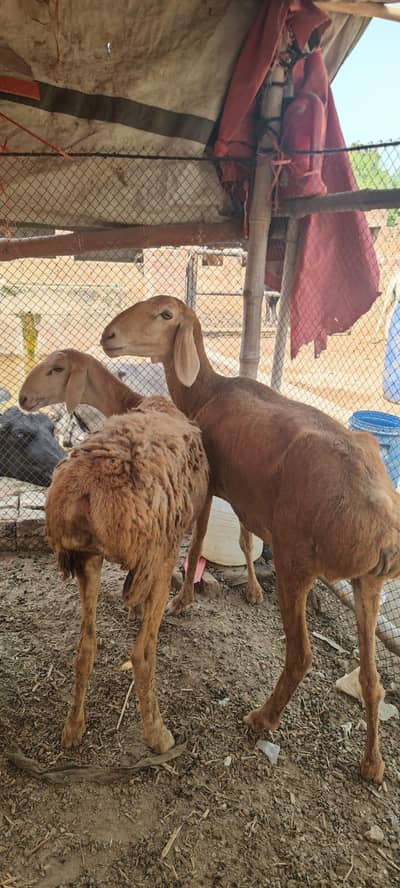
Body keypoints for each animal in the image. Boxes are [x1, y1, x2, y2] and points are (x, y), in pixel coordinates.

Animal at [45, 400, 209, 752]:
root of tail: (87, 491)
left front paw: (133, 609)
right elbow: (196, 547)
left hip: (87, 559)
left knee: (86, 646)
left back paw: (73, 729)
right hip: (160, 556)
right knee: (142, 653)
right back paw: (158, 735)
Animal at [101, 294, 400, 784]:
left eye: (166, 314)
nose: (108, 336)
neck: (206, 392)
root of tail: (383, 532)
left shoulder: (209, 480)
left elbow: (199, 540)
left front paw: (183, 598)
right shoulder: (245, 495)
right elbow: (243, 539)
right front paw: (253, 589)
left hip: (298, 562)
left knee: (301, 656)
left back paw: (263, 718)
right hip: (367, 585)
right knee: (372, 680)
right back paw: (372, 763)